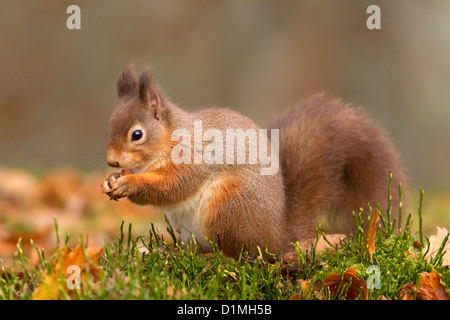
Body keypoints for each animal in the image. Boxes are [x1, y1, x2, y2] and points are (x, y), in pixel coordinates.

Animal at [100, 65, 406, 258]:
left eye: (137, 134)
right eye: (108, 126)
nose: (112, 162)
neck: (170, 138)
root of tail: (278, 236)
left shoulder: (192, 159)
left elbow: (173, 186)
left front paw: (129, 184)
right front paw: (109, 182)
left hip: (229, 206)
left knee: (242, 254)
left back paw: (214, 258)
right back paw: (178, 250)